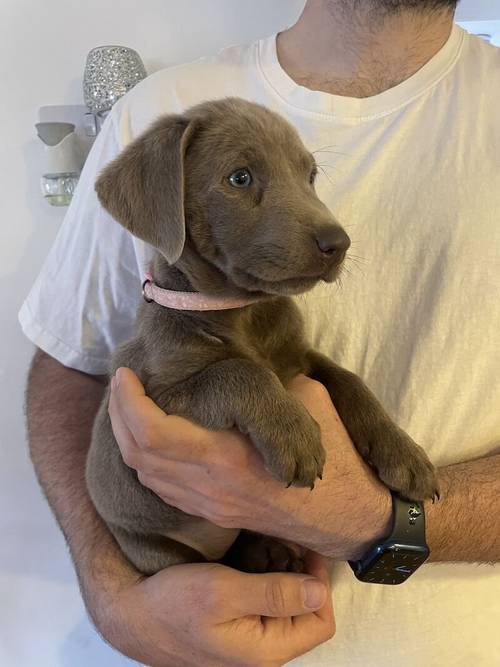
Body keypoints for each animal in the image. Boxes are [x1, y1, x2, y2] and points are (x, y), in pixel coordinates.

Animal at [86, 98, 438, 576]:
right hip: (151, 548)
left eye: (310, 176)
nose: (338, 243)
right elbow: (238, 370)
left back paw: (269, 552)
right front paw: (293, 433)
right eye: (240, 177)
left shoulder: (300, 357)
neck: (246, 314)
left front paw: (403, 453)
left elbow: (349, 380)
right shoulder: (155, 397)